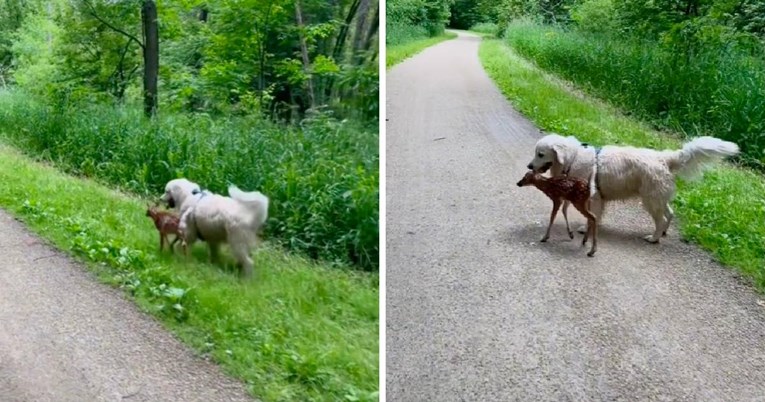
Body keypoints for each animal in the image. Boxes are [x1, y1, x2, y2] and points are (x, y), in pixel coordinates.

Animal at [528, 134, 736, 242]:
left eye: (540, 154)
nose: (529, 166)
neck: (573, 157)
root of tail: (665, 159)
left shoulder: (593, 197)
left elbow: (592, 216)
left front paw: (585, 229)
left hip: (650, 200)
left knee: (661, 219)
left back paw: (653, 238)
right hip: (658, 198)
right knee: (670, 213)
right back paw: (662, 233)